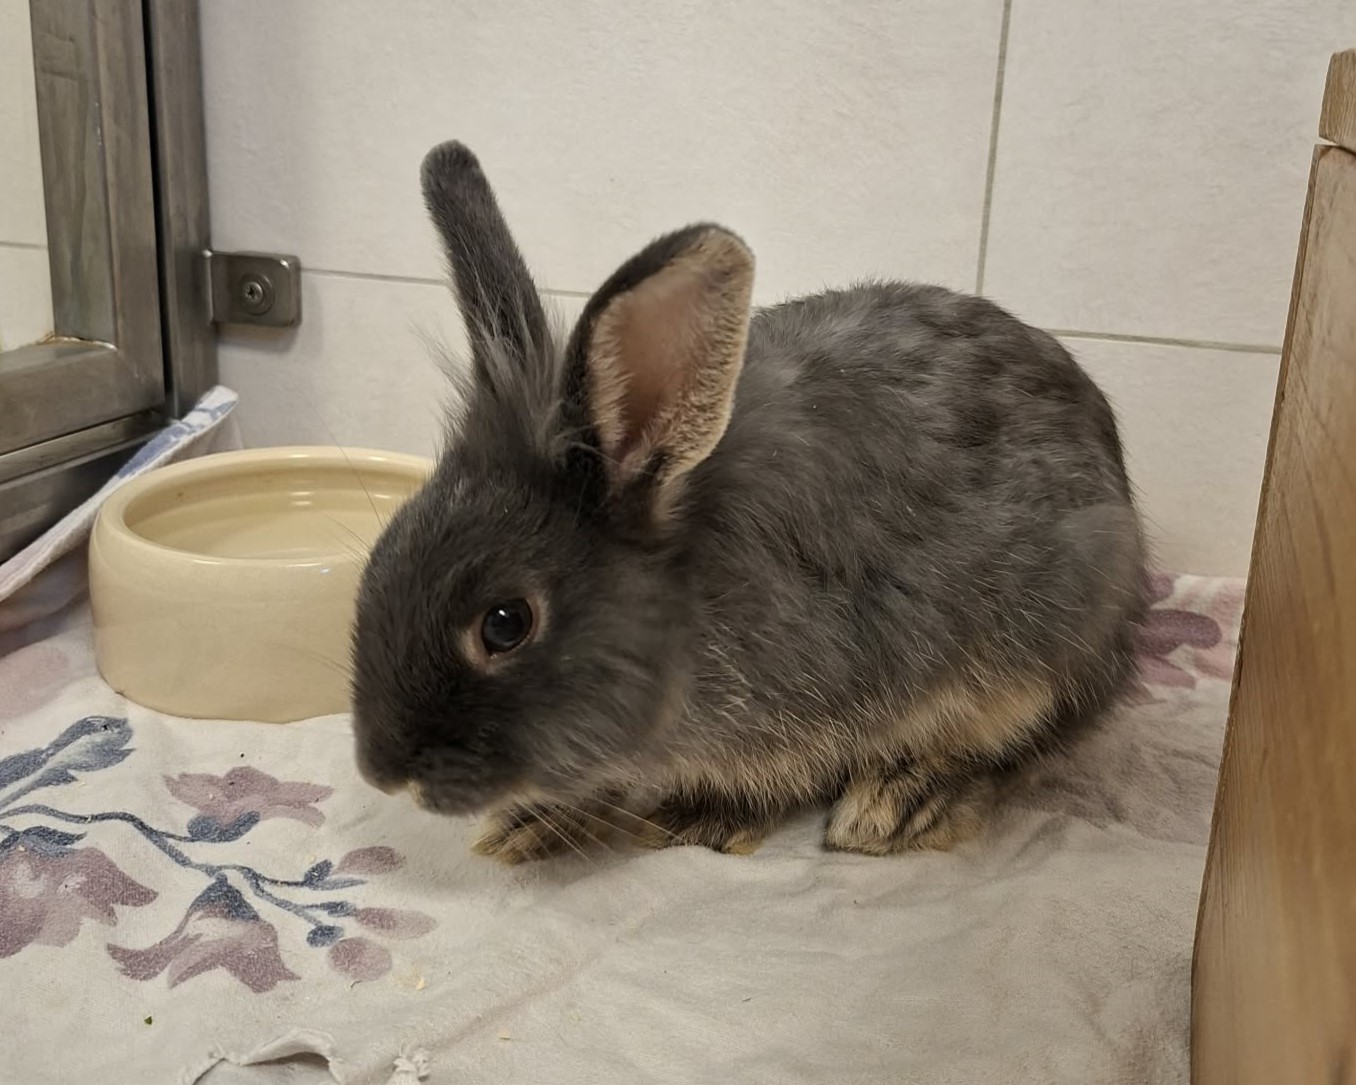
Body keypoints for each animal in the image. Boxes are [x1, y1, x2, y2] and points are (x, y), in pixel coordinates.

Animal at [350, 140, 1146, 862]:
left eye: (505, 623)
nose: (383, 773)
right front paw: (530, 822)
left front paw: (699, 816)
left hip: (1053, 643)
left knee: (1015, 742)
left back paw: (900, 801)